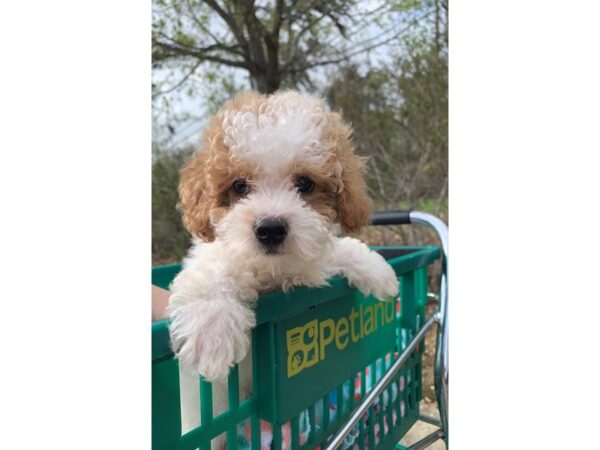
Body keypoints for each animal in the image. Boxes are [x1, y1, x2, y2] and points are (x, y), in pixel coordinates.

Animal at [165, 89, 398, 438]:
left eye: (304, 183)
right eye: (239, 186)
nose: (271, 228)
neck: (272, 272)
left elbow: (335, 249)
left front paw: (378, 270)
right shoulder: (215, 253)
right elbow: (215, 269)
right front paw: (212, 330)